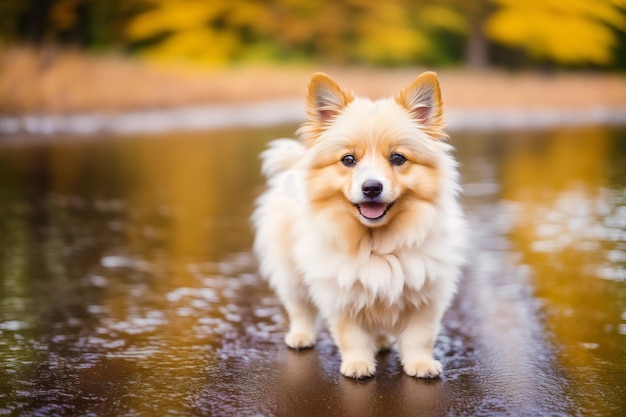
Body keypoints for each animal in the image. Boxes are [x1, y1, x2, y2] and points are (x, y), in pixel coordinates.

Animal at [252, 71, 464, 376]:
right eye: (348, 160)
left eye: (398, 158)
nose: (372, 187)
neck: (377, 243)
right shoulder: (341, 296)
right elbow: (352, 336)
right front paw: (358, 365)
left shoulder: (426, 296)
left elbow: (419, 337)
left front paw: (420, 364)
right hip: (291, 274)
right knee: (300, 308)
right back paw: (301, 337)